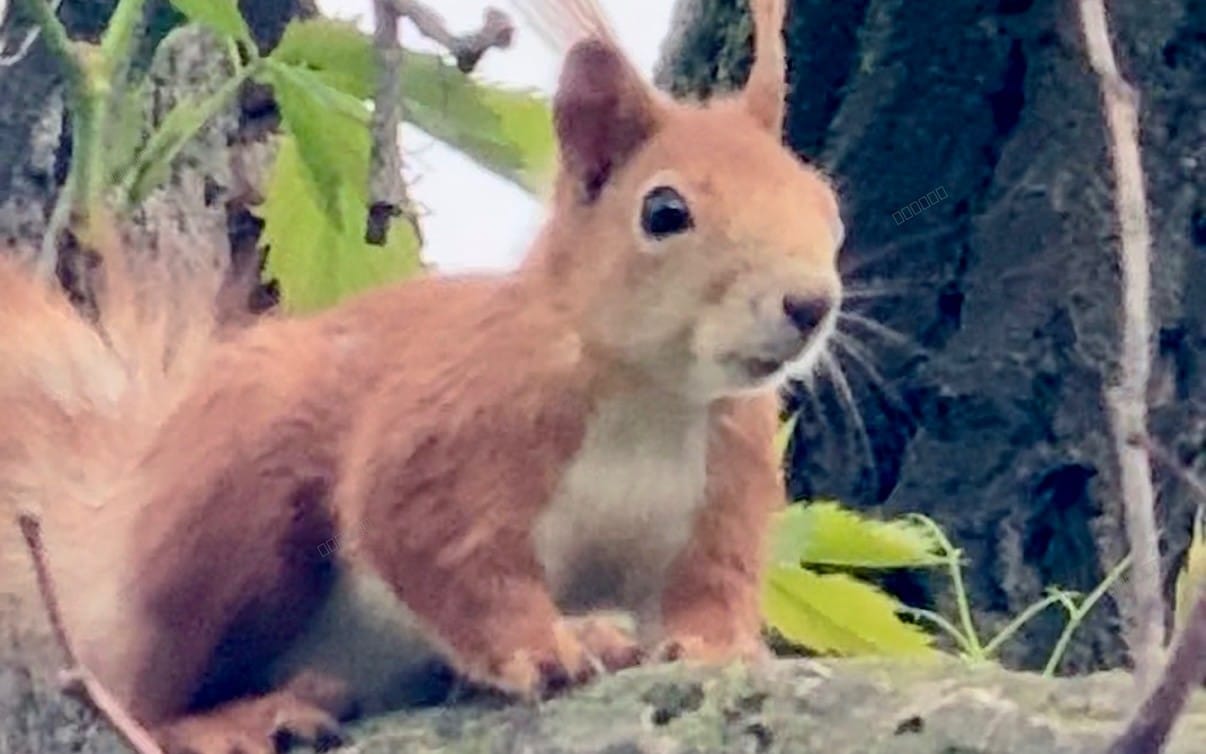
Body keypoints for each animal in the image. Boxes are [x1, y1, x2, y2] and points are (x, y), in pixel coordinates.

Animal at [0, 0, 845, 751]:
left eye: (827, 207)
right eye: (664, 211)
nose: (810, 304)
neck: (653, 393)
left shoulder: (727, 481)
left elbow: (712, 588)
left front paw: (716, 648)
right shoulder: (456, 421)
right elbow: (432, 542)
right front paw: (542, 647)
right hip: (230, 511)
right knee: (151, 699)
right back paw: (240, 719)